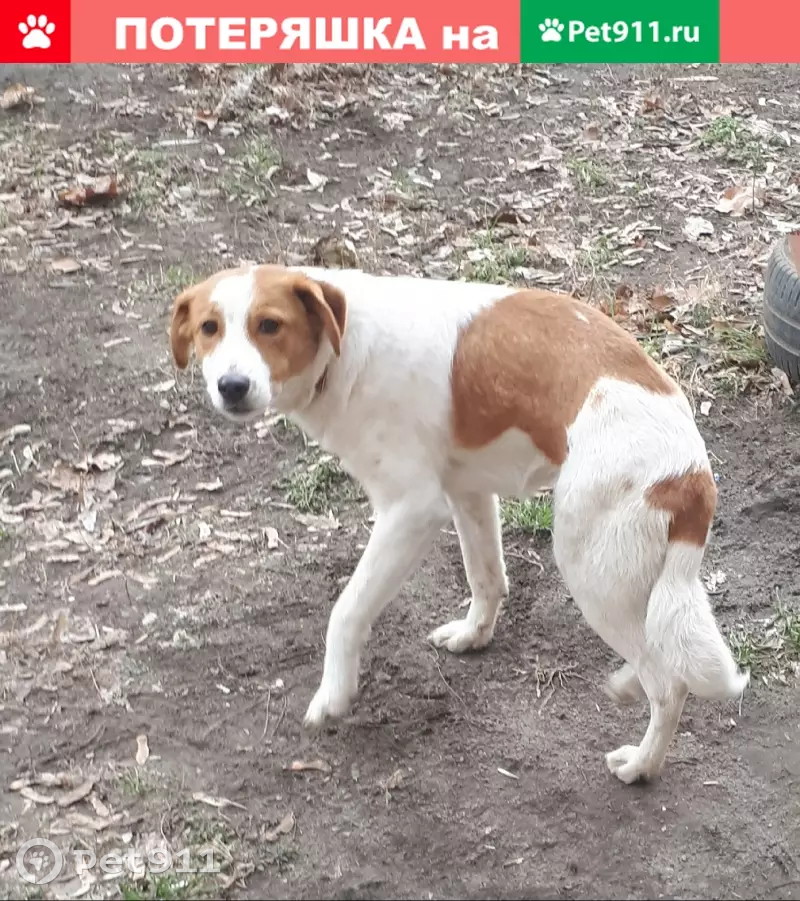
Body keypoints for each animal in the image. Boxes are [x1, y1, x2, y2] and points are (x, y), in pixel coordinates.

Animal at [169, 263, 749, 784]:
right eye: (209, 328)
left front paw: (333, 695)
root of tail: (690, 470)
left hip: (590, 570)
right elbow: (486, 578)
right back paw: (627, 686)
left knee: (668, 683)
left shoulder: (411, 510)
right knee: (658, 652)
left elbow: (345, 611)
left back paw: (641, 765)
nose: (232, 386)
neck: (346, 345)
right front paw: (474, 635)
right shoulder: (467, 492)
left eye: (270, 325)